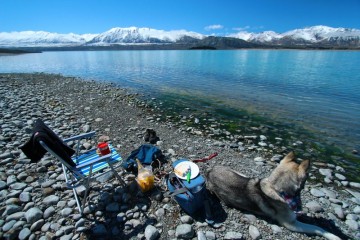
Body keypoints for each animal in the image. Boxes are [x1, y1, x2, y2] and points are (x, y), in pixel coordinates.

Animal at [205, 152, 340, 240]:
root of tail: (209, 171)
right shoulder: (292, 224)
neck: (278, 189)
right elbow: (318, 228)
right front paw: (333, 236)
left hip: (241, 174)